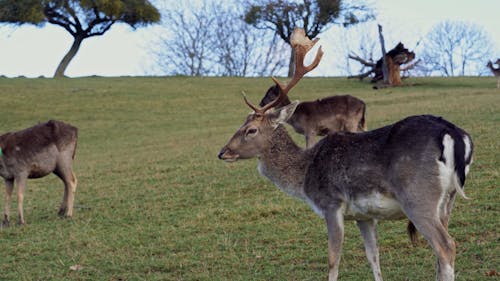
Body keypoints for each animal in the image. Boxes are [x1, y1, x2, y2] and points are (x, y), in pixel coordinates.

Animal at [218, 27, 472, 280]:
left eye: (251, 130)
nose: (222, 152)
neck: (304, 175)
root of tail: (455, 135)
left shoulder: (331, 204)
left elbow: (333, 260)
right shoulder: (364, 215)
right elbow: (373, 257)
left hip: (418, 196)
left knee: (446, 246)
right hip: (447, 200)